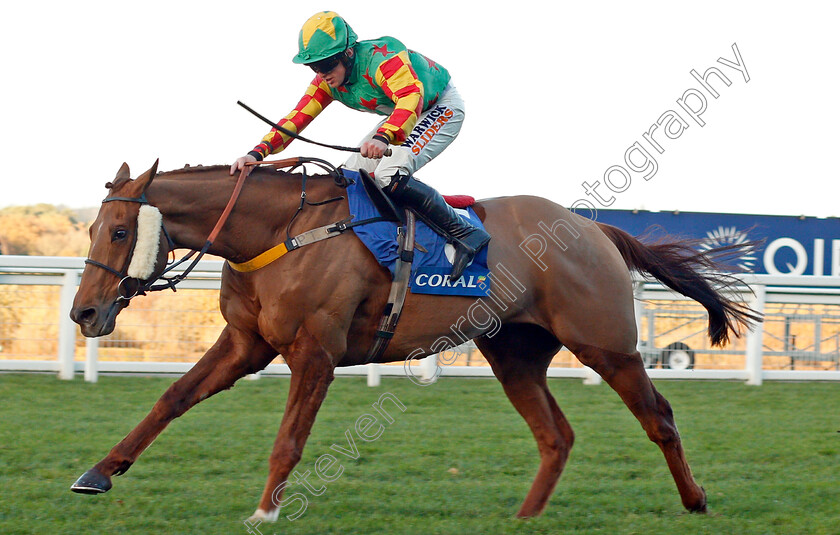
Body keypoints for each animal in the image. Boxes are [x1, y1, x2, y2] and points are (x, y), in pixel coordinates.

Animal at [69, 160, 756, 524]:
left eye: (122, 231)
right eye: (95, 228)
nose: (84, 311)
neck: (280, 230)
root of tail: (594, 229)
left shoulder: (315, 351)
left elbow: (289, 440)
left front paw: (266, 511)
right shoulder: (246, 343)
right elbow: (172, 399)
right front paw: (99, 472)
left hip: (605, 345)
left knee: (658, 416)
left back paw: (695, 501)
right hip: (514, 354)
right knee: (555, 435)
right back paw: (525, 520)